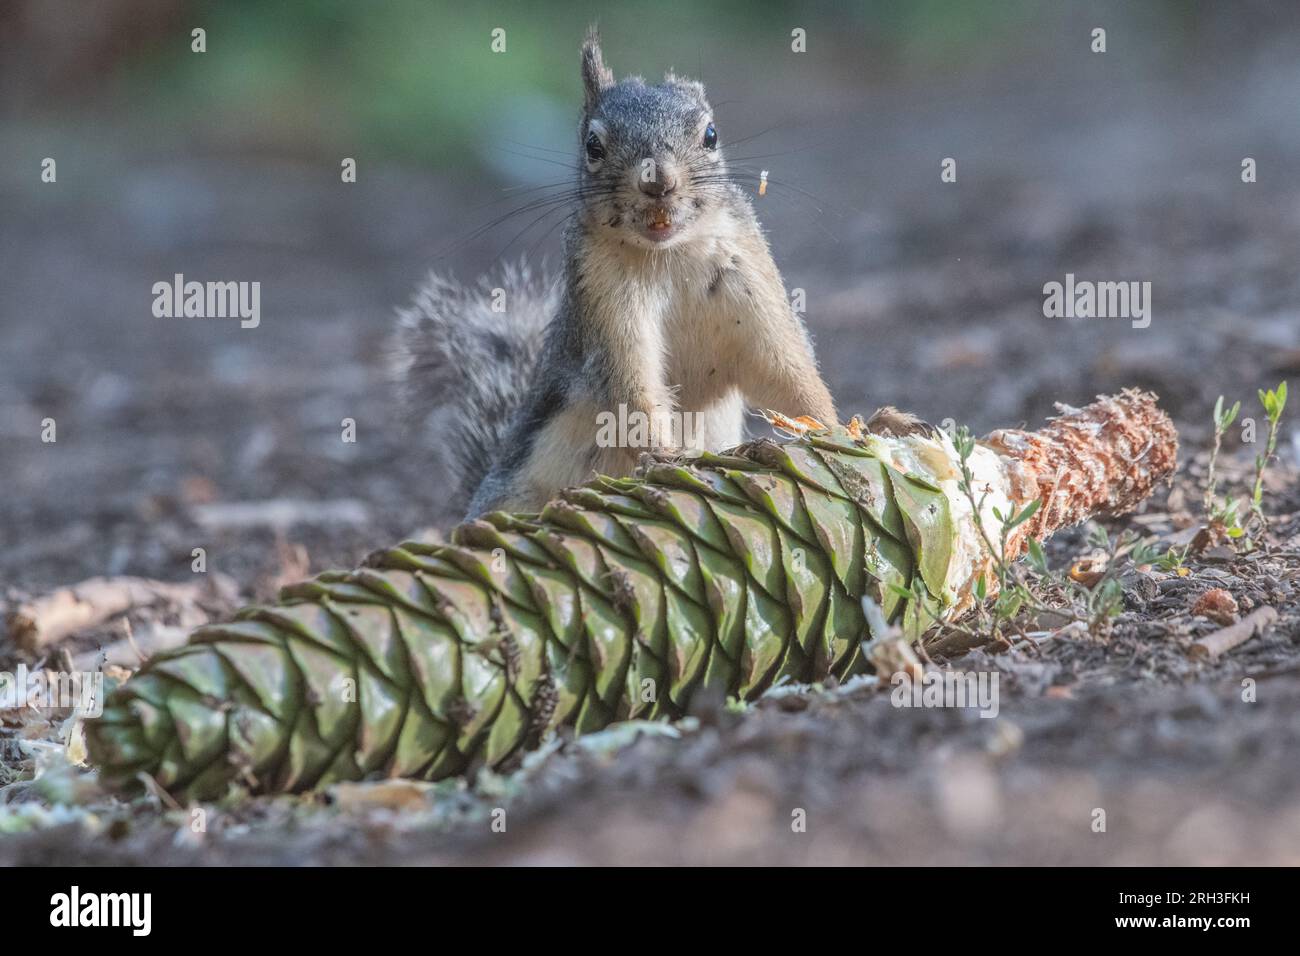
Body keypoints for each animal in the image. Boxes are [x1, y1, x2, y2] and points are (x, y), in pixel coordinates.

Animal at [397, 29, 915, 520]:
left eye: (711, 135)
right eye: (592, 145)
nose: (658, 180)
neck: (671, 256)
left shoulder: (752, 282)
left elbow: (785, 373)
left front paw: (856, 427)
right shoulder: (603, 302)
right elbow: (633, 385)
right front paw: (667, 457)